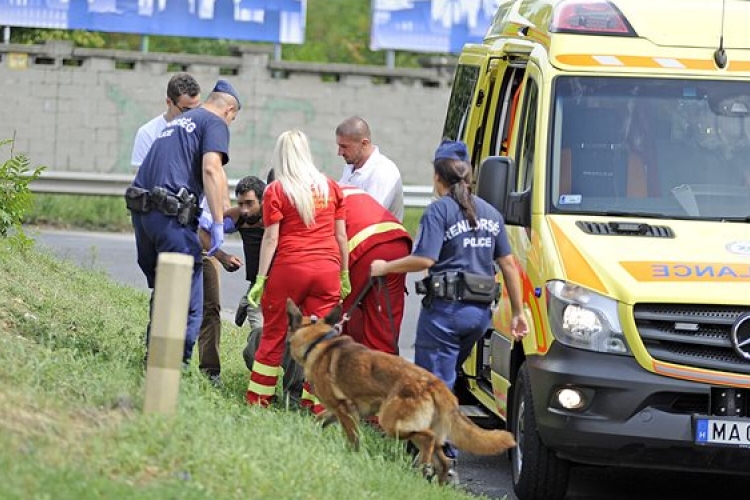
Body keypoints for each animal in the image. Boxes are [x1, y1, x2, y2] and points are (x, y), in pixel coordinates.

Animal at [284, 298, 520, 482]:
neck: (318, 341)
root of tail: (435, 384)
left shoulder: (344, 411)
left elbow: (352, 438)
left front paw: (352, 455)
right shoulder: (341, 410)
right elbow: (318, 420)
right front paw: (307, 434)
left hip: (391, 422)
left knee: (429, 438)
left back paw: (421, 467)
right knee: (443, 459)